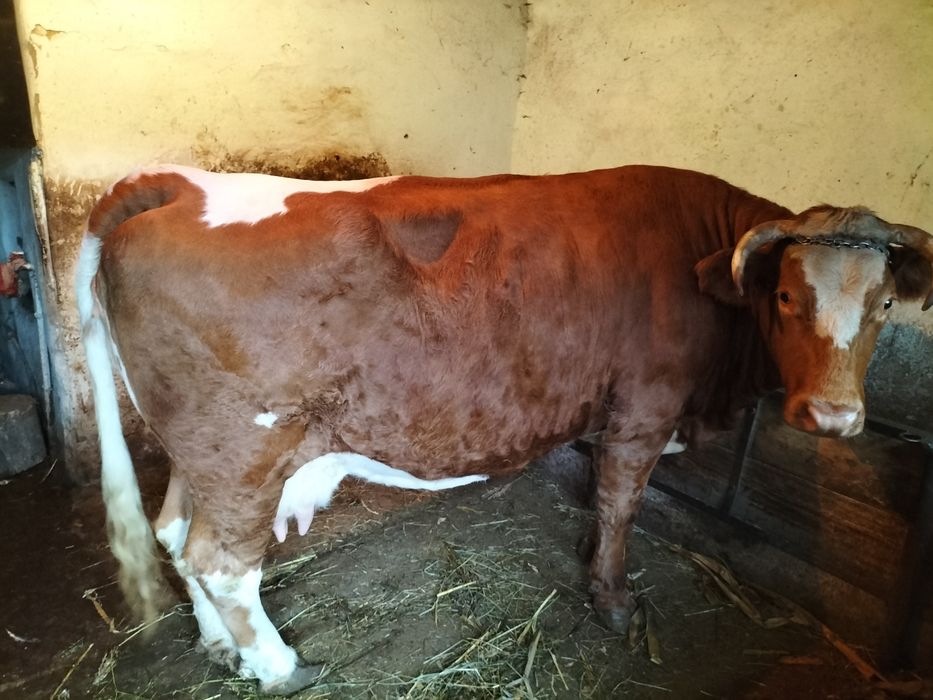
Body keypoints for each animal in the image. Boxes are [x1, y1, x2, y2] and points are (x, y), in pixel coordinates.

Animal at [76, 164, 933, 694]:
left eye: (888, 304)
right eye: (786, 296)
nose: (832, 416)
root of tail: (177, 182)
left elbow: (600, 496)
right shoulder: (645, 406)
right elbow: (621, 502)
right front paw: (613, 598)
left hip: (203, 450)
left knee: (173, 532)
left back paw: (221, 646)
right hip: (249, 447)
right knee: (222, 562)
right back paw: (278, 665)